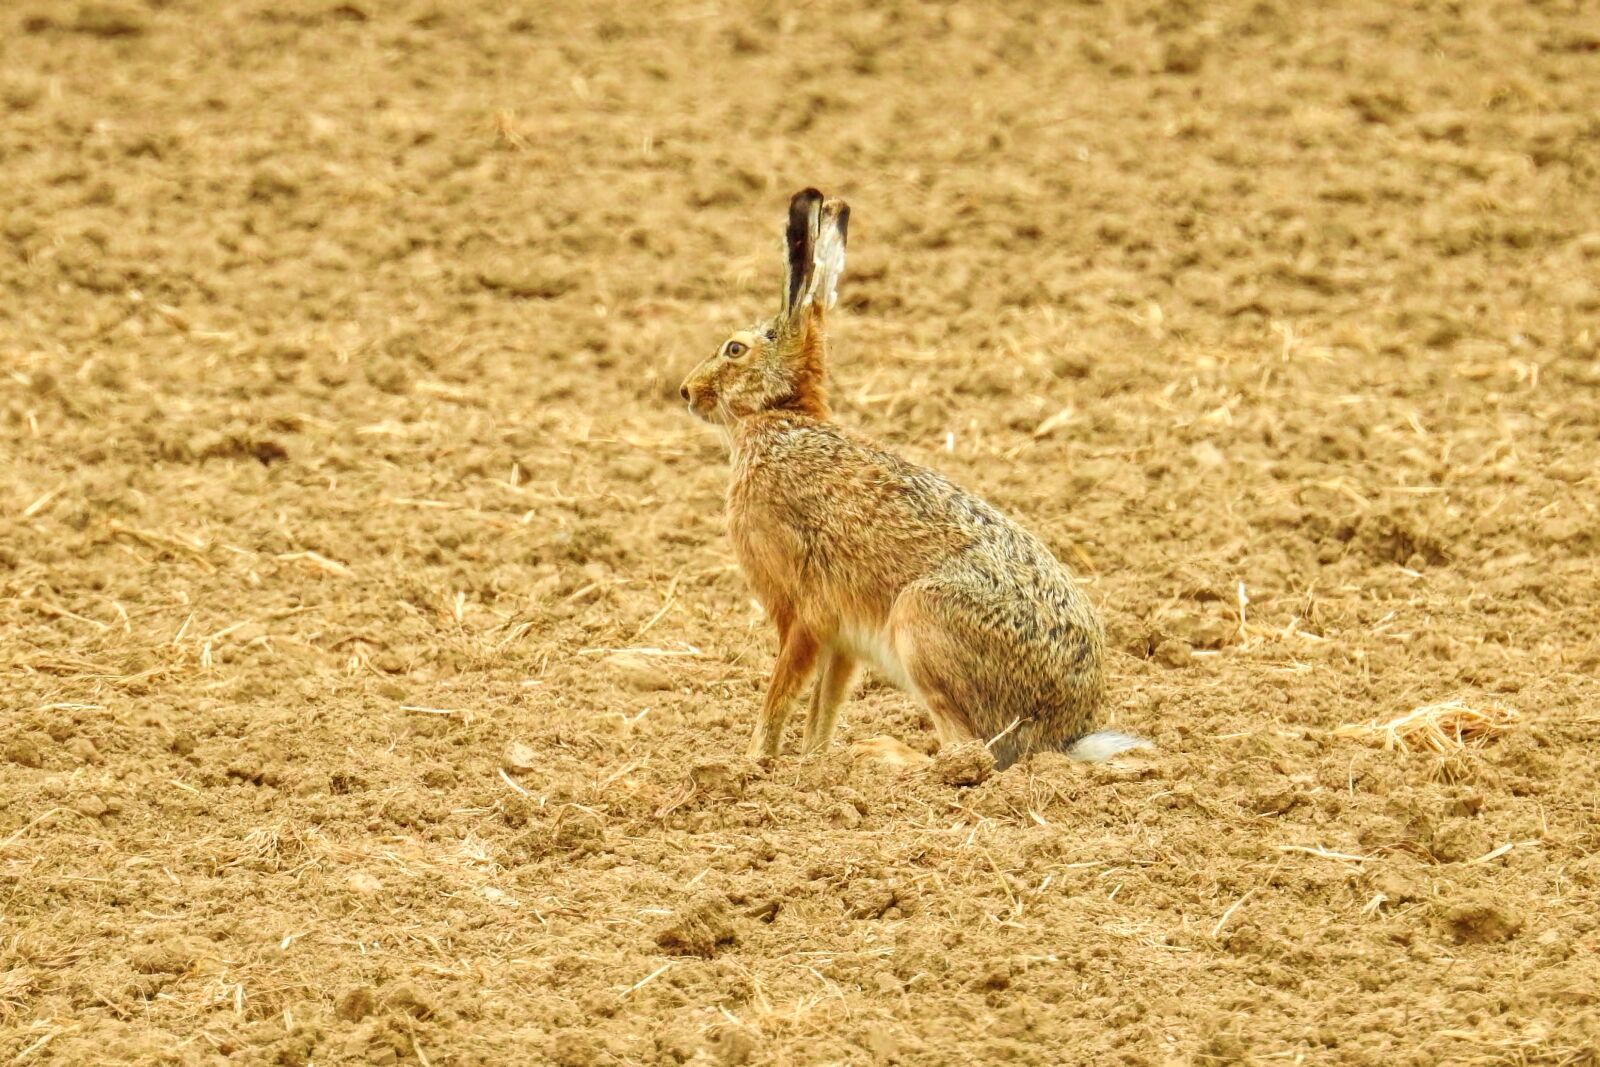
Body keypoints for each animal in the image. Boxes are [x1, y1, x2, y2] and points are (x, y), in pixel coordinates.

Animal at [679, 188, 1148, 770]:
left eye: (735, 349)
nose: (685, 391)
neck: (781, 418)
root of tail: (1064, 735)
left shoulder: (801, 611)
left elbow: (781, 692)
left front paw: (752, 762)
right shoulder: (843, 637)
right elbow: (824, 703)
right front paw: (815, 763)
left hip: (921, 624)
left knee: (973, 753)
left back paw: (887, 756)